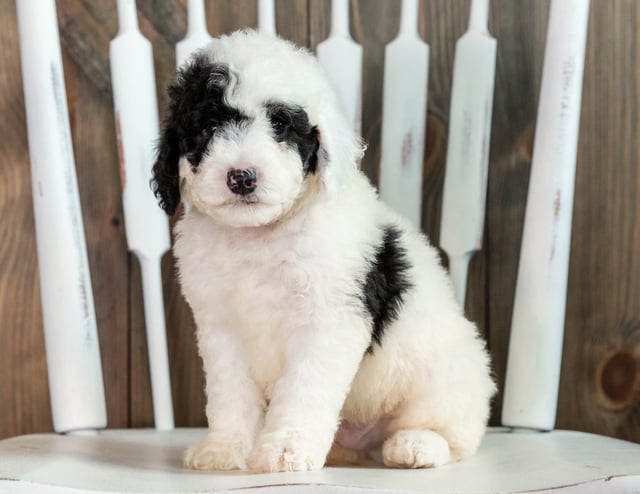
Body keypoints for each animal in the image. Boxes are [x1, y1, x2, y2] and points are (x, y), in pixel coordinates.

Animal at [151, 29, 496, 472]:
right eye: (209, 126)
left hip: (449, 373)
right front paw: (225, 449)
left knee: (454, 431)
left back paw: (416, 445)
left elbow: (304, 389)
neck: (258, 235)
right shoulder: (220, 328)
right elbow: (230, 395)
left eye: (281, 125)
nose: (241, 177)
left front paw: (285, 450)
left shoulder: (327, 321)